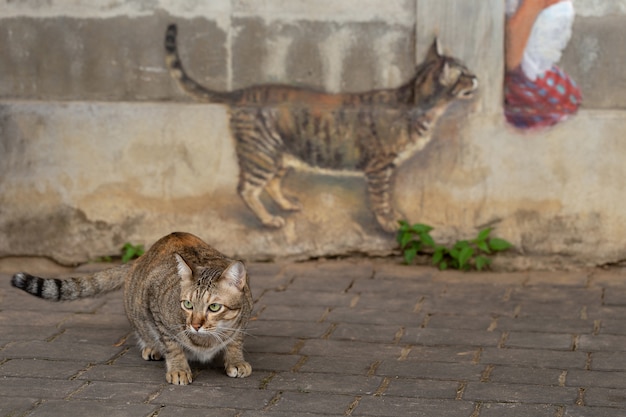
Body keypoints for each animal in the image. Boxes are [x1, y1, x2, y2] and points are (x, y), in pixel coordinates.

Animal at [11, 231, 251, 384]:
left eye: (214, 307)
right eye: (188, 304)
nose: (195, 325)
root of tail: (140, 257)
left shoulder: (243, 318)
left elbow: (235, 340)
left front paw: (236, 361)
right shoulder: (155, 308)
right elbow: (172, 344)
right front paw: (178, 369)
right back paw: (152, 347)